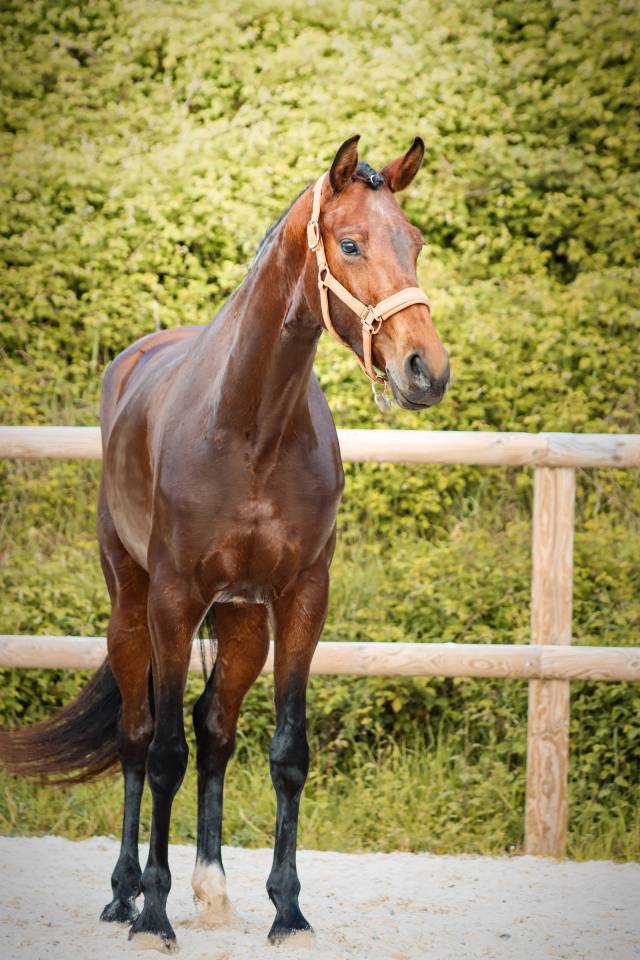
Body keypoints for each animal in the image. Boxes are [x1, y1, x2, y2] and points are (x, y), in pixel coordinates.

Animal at [0, 135, 450, 950]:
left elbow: (286, 753)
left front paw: (288, 911)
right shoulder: (176, 600)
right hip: (133, 606)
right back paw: (125, 893)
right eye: (350, 243)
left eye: (416, 243)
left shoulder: (301, 600)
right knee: (139, 736)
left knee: (214, 727)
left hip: (241, 622)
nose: (426, 370)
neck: (250, 428)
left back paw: (211, 890)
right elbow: (163, 754)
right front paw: (153, 915)